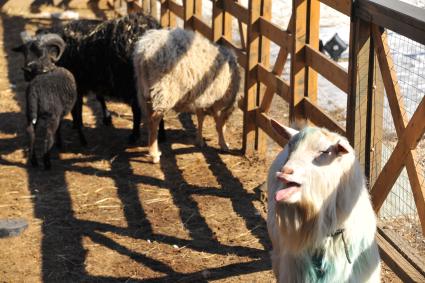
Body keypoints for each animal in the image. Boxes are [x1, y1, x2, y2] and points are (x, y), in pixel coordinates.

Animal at [12, 34, 84, 170]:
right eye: (24, 52)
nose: (26, 71)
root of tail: (35, 92)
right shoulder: (67, 108)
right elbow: (76, 120)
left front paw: (59, 143)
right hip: (52, 115)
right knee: (48, 135)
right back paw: (47, 163)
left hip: (30, 113)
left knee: (31, 132)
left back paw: (34, 161)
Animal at [132, 27, 240, 163]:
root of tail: (144, 53)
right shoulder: (219, 102)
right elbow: (218, 124)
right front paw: (224, 144)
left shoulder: (201, 97)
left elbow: (200, 117)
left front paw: (199, 140)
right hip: (164, 91)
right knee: (154, 120)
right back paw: (154, 154)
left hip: (145, 89)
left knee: (148, 116)